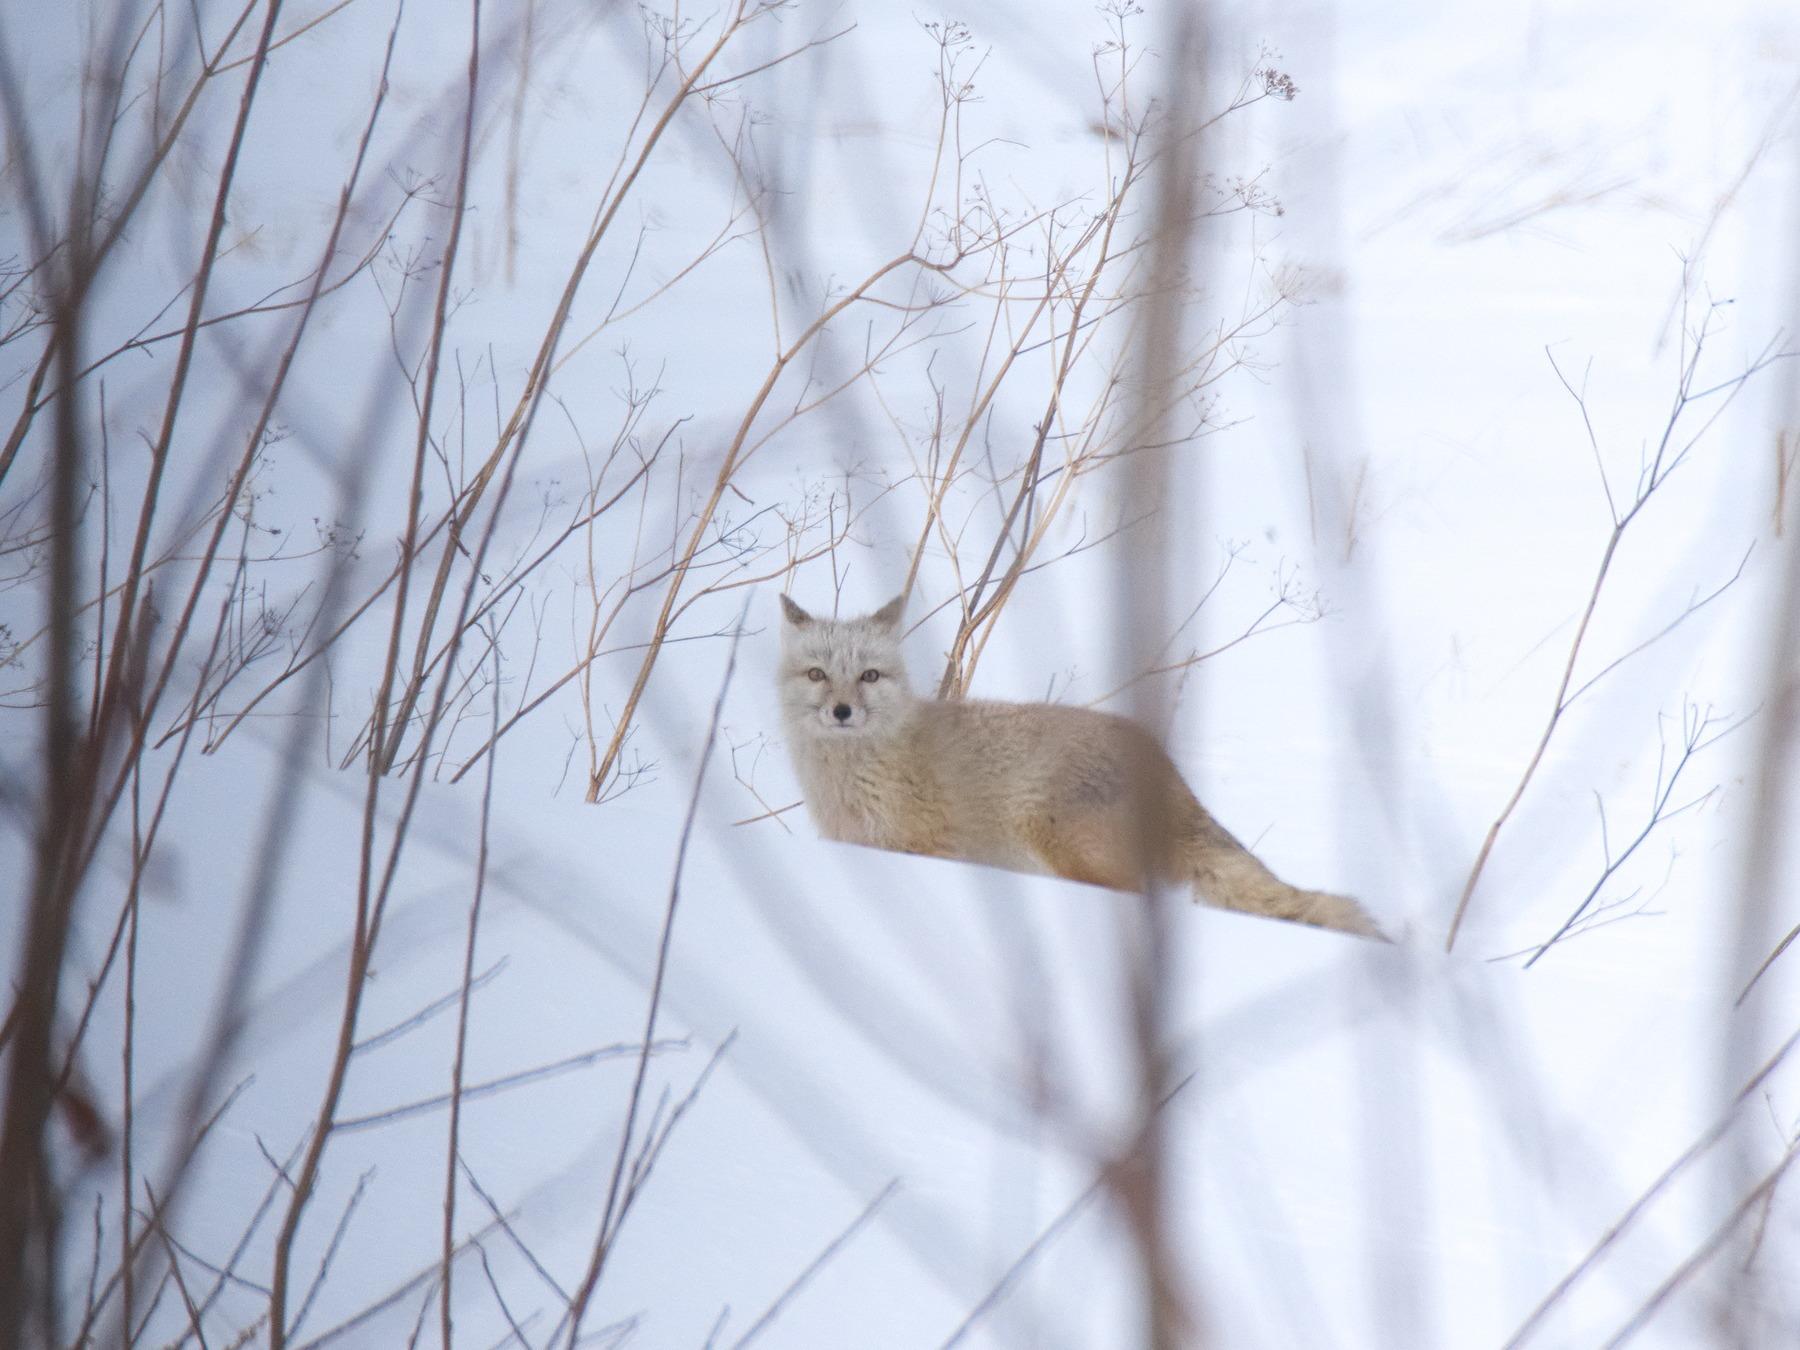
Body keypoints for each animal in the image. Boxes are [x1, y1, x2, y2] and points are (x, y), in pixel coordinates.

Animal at [777, 593, 1383, 938]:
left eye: (869, 676)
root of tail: (1165, 762)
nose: (842, 711)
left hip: (1054, 842)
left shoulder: (926, 845)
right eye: (817, 675)